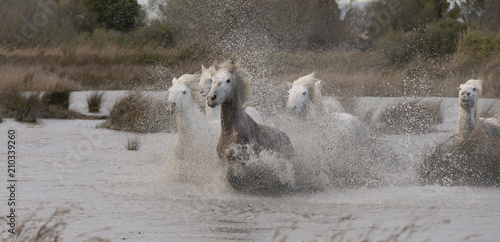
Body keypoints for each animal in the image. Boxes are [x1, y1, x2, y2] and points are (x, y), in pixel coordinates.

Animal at [206, 60, 294, 191]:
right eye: (212, 80)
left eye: (228, 80)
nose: (211, 98)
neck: (230, 132)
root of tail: (287, 138)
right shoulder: (223, 160)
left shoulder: (242, 158)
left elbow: (235, 176)